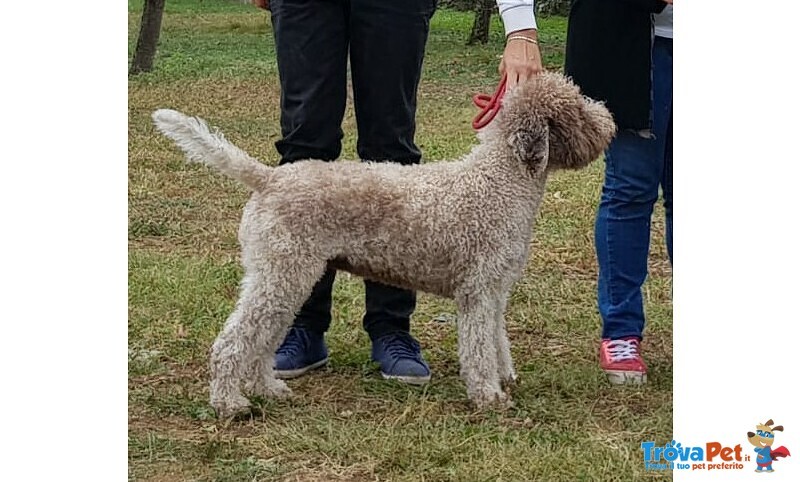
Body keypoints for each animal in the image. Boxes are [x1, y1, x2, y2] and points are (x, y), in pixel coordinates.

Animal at [156, 71, 620, 418]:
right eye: (576, 109)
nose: (609, 120)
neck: (498, 181)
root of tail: (269, 178)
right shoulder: (477, 291)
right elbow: (477, 347)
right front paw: (488, 395)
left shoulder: (496, 290)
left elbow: (495, 339)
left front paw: (504, 377)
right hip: (282, 273)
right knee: (235, 340)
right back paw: (229, 402)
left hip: (285, 276)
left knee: (264, 336)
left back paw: (266, 387)